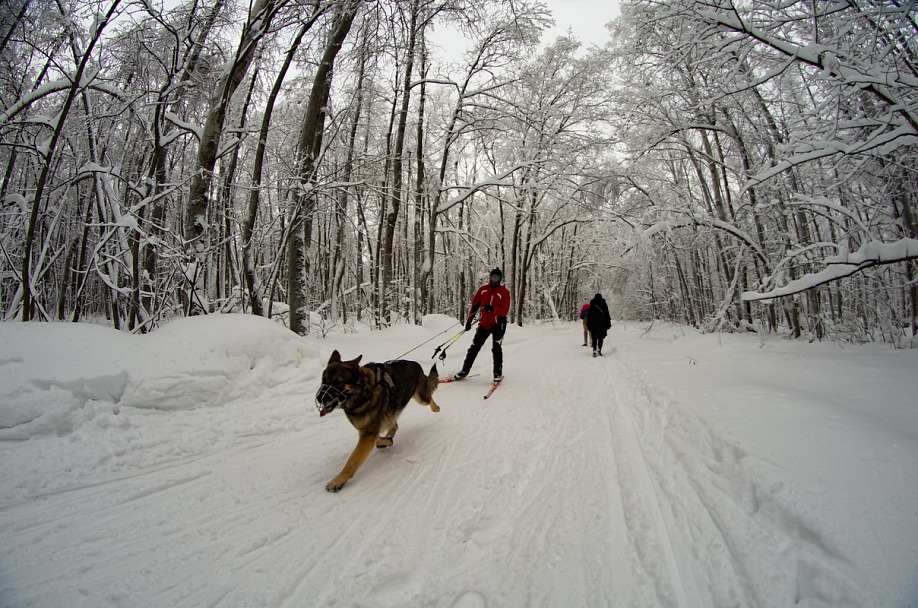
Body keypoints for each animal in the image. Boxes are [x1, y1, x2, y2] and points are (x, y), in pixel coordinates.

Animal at [316, 350, 442, 492]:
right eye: (323, 380)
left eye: (338, 382)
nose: (319, 398)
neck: (364, 392)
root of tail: (416, 364)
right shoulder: (368, 432)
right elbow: (378, 438)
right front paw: (387, 441)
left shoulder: (368, 433)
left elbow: (352, 461)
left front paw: (337, 480)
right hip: (392, 409)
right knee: (394, 424)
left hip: (421, 398)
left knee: (429, 397)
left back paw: (436, 408)